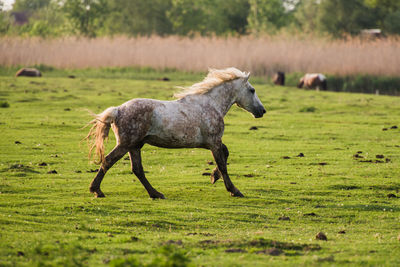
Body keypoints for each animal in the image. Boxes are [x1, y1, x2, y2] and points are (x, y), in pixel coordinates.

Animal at [85, 68, 266, 200]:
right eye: (252, 90)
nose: (262, 111)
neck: (211, 105)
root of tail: (117, 110)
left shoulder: (210, 142)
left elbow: (226, 153)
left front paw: (214, 177)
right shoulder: (214, 142)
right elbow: (222, 163)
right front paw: (234, 190)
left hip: (135, 146)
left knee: (137, 169)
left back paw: (156, 194)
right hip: (126, 144)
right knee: (108, 161)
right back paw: (97, 191)